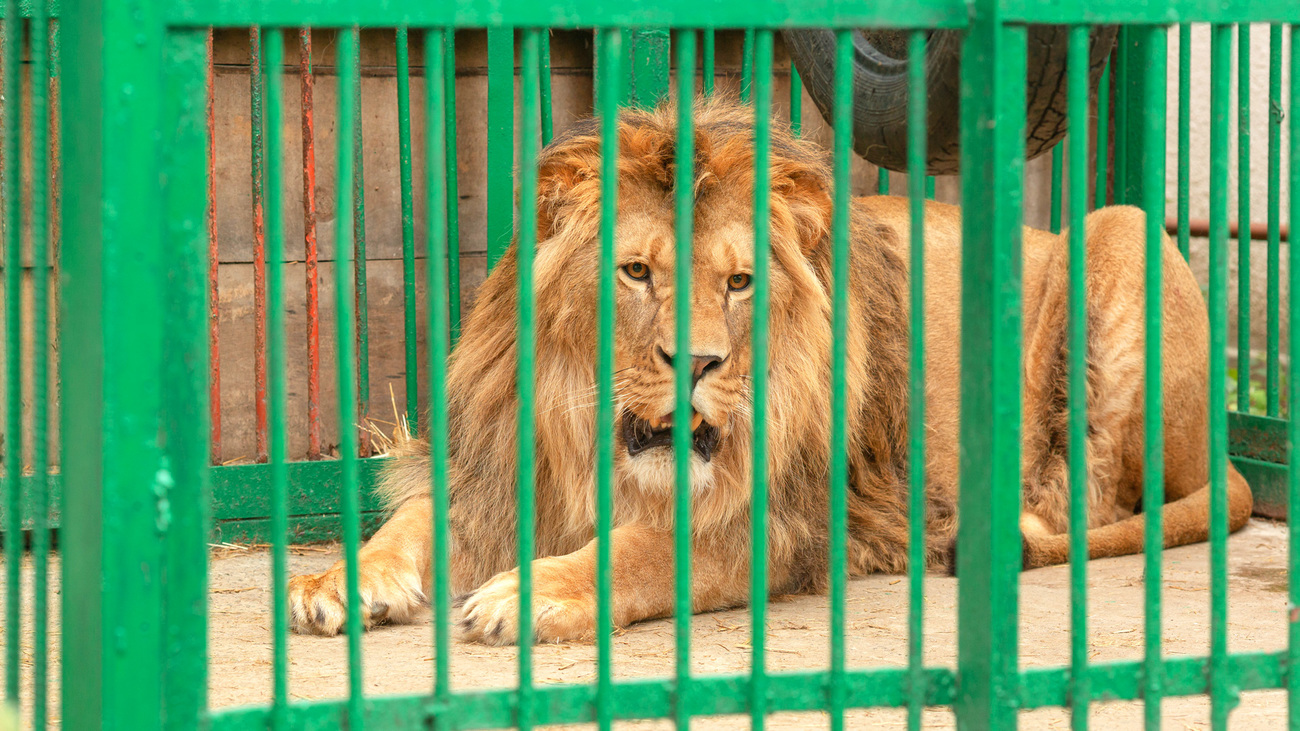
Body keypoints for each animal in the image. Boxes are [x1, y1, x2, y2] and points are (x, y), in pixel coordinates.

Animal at [284, 98, 1248, 642]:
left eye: (739, 282)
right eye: (637, 273)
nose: (698, 362)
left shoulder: (787, 521)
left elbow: (647, 548)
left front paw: (536, 590)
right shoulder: (496, 475)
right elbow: (410, 523)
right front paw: (339, 580)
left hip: (1125, 229)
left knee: (1092, 501)